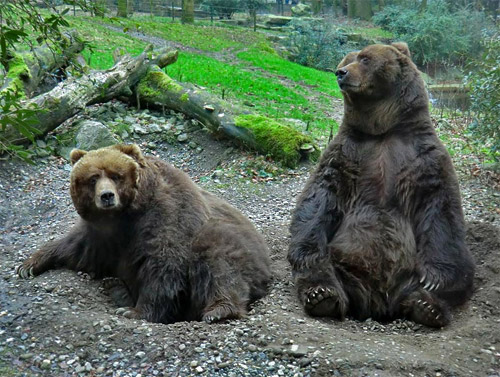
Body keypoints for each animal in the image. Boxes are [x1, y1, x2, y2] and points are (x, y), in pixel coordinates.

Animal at [17, 144, 272, 324]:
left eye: (116, 175)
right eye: (93, 178)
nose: (107, 196)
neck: (125, 216)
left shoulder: (167, 213)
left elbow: (164, 263)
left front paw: (134, 311)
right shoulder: (100, 234)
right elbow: (74, 246)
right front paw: (29, 265)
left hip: (230, 242)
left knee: (219, 262)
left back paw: (219, 310)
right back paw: (116, 288)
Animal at [288, 41, 474, 326]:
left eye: (364, 58)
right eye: (346, 60)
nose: (340, 73)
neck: (383, 130)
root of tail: (378, 302)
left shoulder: (423, 155)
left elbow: (439, 205)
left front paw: (435, 279)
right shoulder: (347, 152)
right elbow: (321, 196)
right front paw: (306, 257)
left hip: (413, 270)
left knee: (447, 279)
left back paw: (426, 306)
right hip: (342, 261)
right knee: (323, 270)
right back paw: (323, 295)